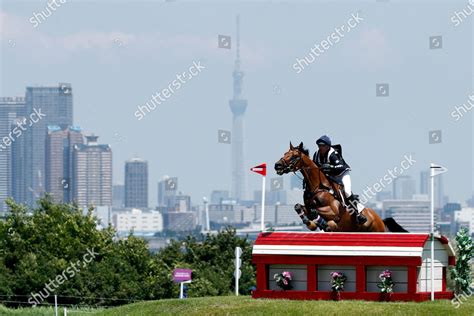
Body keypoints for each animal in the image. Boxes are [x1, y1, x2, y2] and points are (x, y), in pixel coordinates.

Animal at [276, 142, 406, 233]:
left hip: (376, 230)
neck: (317, 187)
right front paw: (312, 224)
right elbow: (299, 207)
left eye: (294, 156)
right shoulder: (307, 206)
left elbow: (316, 211)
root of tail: (380, 219)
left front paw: (322, 225)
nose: (277, 165)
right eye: (285, 154)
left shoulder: (334, 212)